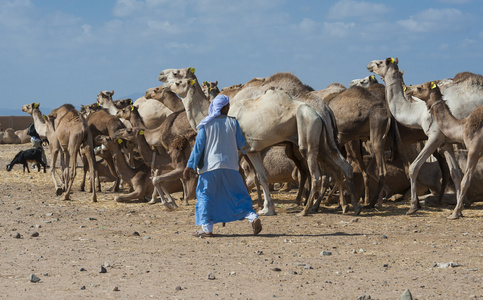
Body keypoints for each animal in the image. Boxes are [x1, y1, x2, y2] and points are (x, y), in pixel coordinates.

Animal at [161, 74, 362, 217]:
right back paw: (351, 206)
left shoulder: (240, 149)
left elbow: (240, 175)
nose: (164, 84)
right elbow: (262, 177)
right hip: (324, 141)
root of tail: (323, 111)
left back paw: (307, 209)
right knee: (342, 166)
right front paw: (266, 208)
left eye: (178, 80)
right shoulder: (252, 149)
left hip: (308, 134)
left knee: (318, 174)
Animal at [406, 81, 482, 219]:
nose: (408, 89)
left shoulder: (474, 150)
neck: (462, 127)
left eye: (419, 87)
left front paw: (455, 213)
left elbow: (465, 181)